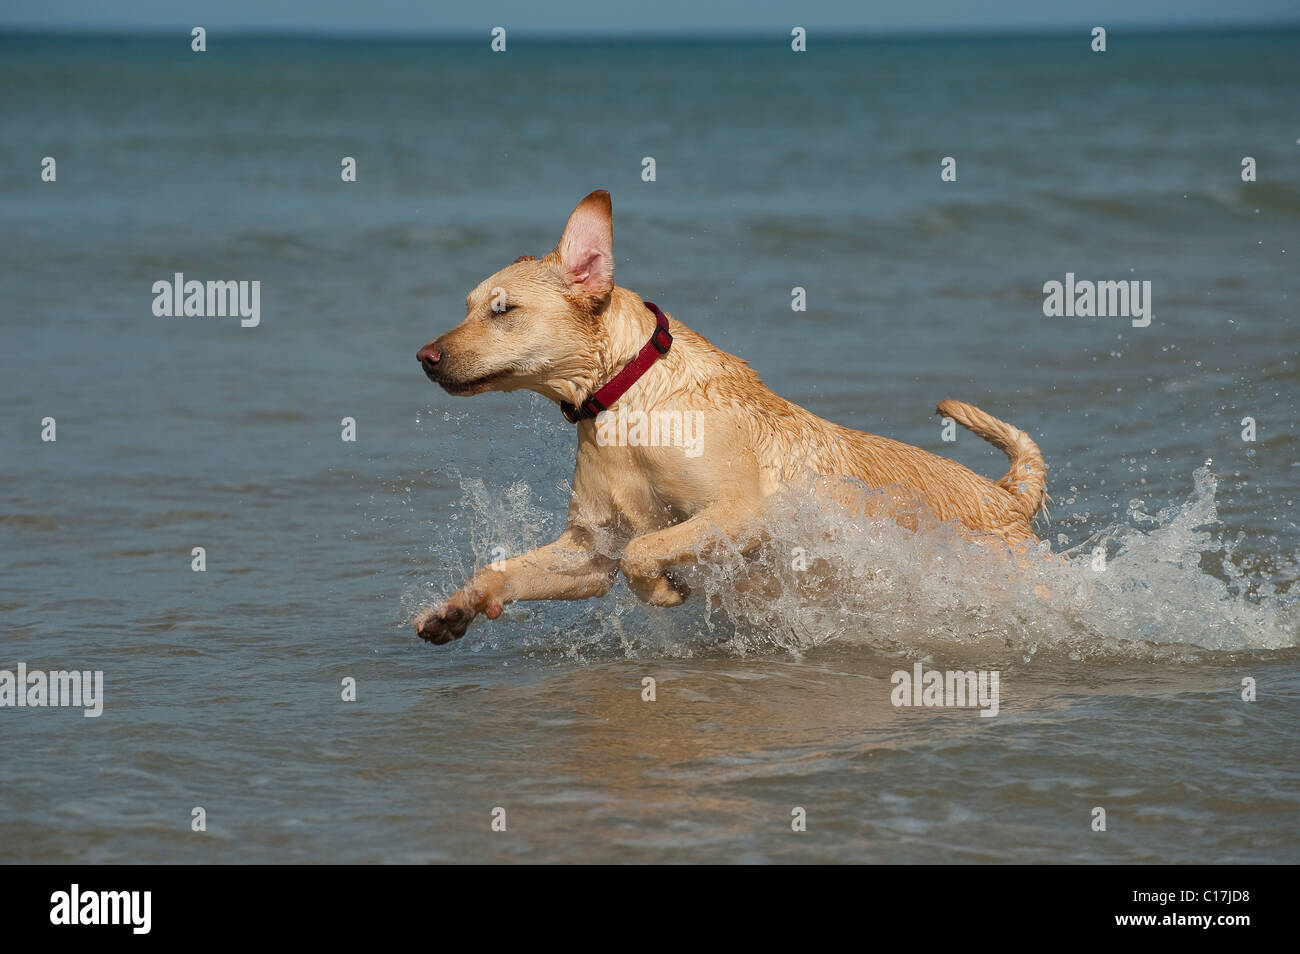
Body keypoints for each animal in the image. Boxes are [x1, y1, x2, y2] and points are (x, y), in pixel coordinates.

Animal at [416, 191, 1045, 647]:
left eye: (503, 309)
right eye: (468, 306)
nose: (423, 357)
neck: (628, 398)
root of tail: (1007, 495)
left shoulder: (747, 512)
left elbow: (643, 551)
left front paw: (664, 592)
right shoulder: (590, 550)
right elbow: (504, 571)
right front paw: (454, 609)